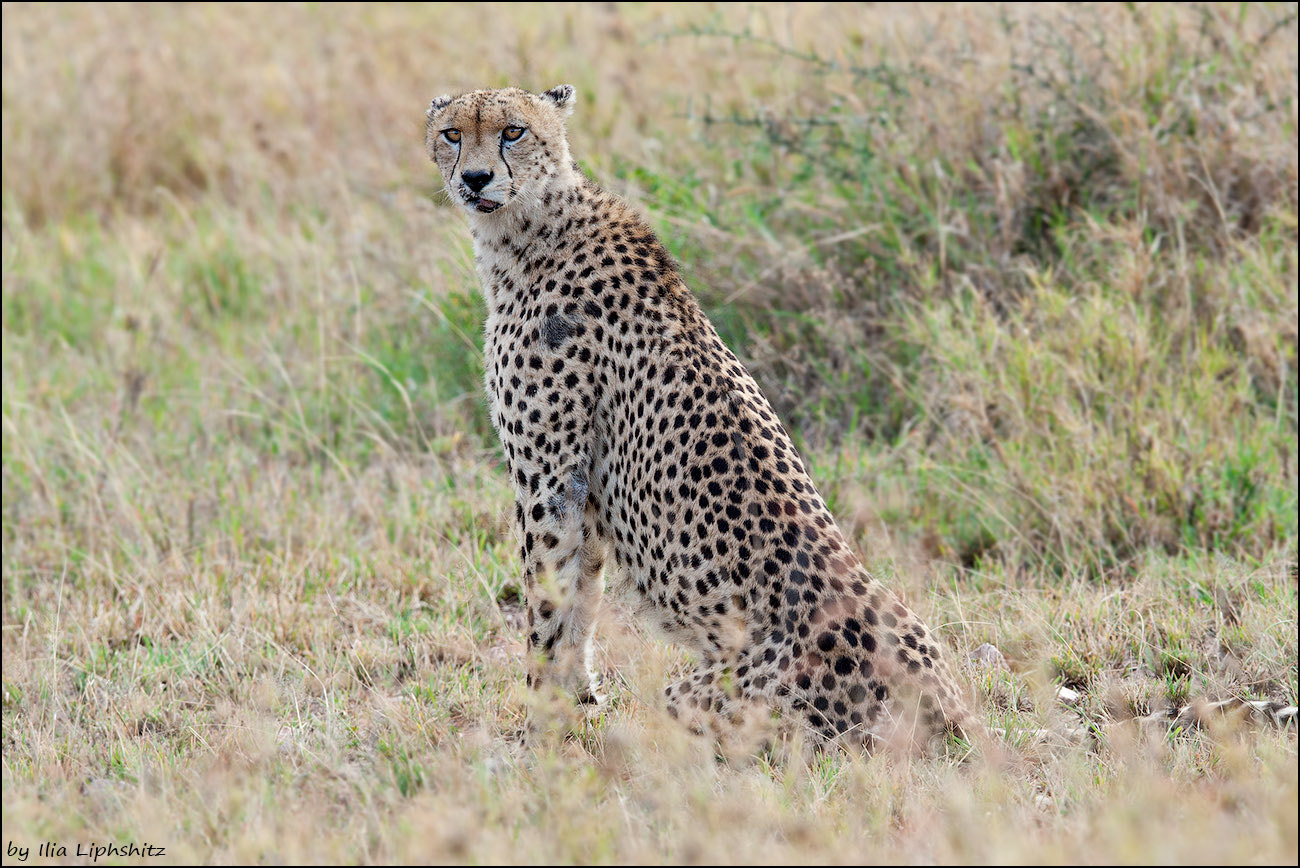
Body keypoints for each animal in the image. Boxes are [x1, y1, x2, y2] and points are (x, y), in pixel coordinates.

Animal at [426, 86, 977, 753]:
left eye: (513, 132)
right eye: (453, 134)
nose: (475, 178)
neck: (531, 228)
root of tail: (949, 707)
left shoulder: (551, 481)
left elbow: (548, 606)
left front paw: (537, 732)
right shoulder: (583, 492)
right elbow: (581, 599)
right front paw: (577, 708)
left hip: (704, 696)